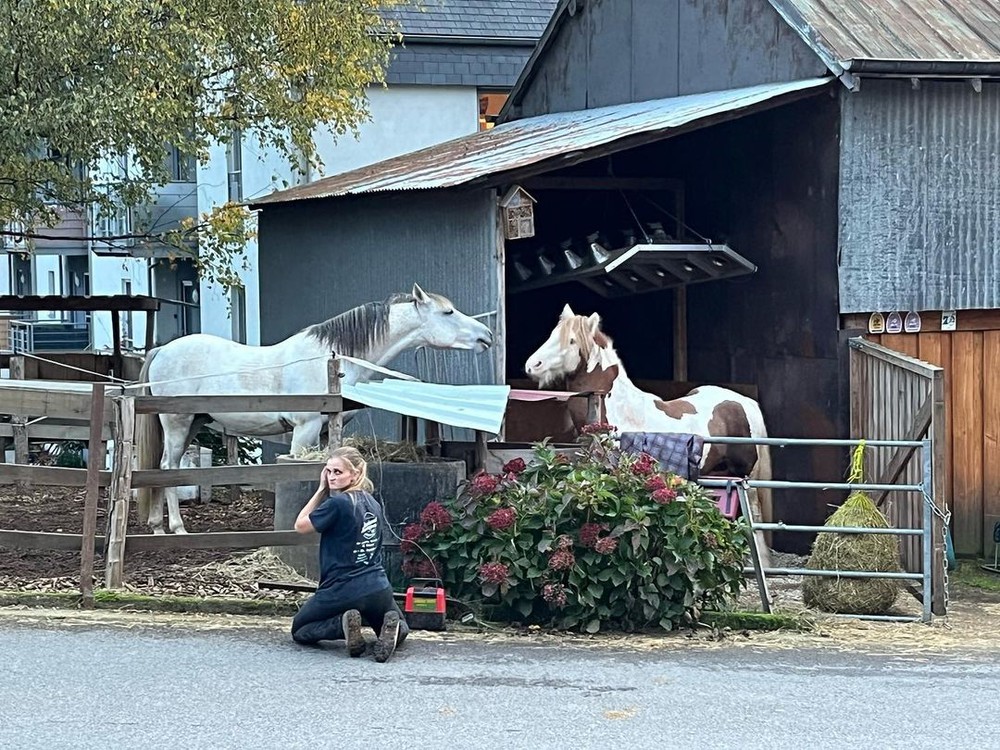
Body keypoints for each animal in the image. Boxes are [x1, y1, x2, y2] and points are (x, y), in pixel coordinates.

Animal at [135, 284, 494, 536]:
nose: (487, 336)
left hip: (194, 422)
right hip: (178, 422)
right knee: (169, 469)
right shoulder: (303, 431)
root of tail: (162, 350)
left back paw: (156, 525)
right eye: (447, 313)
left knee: (164, 467)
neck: (333, 361)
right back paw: (177, 528)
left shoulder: (326, 432)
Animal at [524, 306, 772, 568]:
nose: (532, 365)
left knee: (753, 519)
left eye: (571, 341)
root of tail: (745, 402)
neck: (616, 407)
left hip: (745, 479)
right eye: (552, 335)